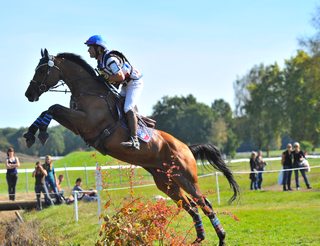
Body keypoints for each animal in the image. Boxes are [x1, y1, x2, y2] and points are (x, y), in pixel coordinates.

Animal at [24, 49, 238, 245]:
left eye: (41, 70)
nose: (29, 94)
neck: (90, 92)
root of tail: (186, 147)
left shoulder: (87, 123)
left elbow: (53, 108)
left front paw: (38, 132)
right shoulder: (78, 125)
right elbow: (50, 110)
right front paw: (31, 133)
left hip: (185, 177)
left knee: (204, 203)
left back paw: (222, 237)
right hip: (166, 182)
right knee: (191, 206)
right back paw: (200, 237)